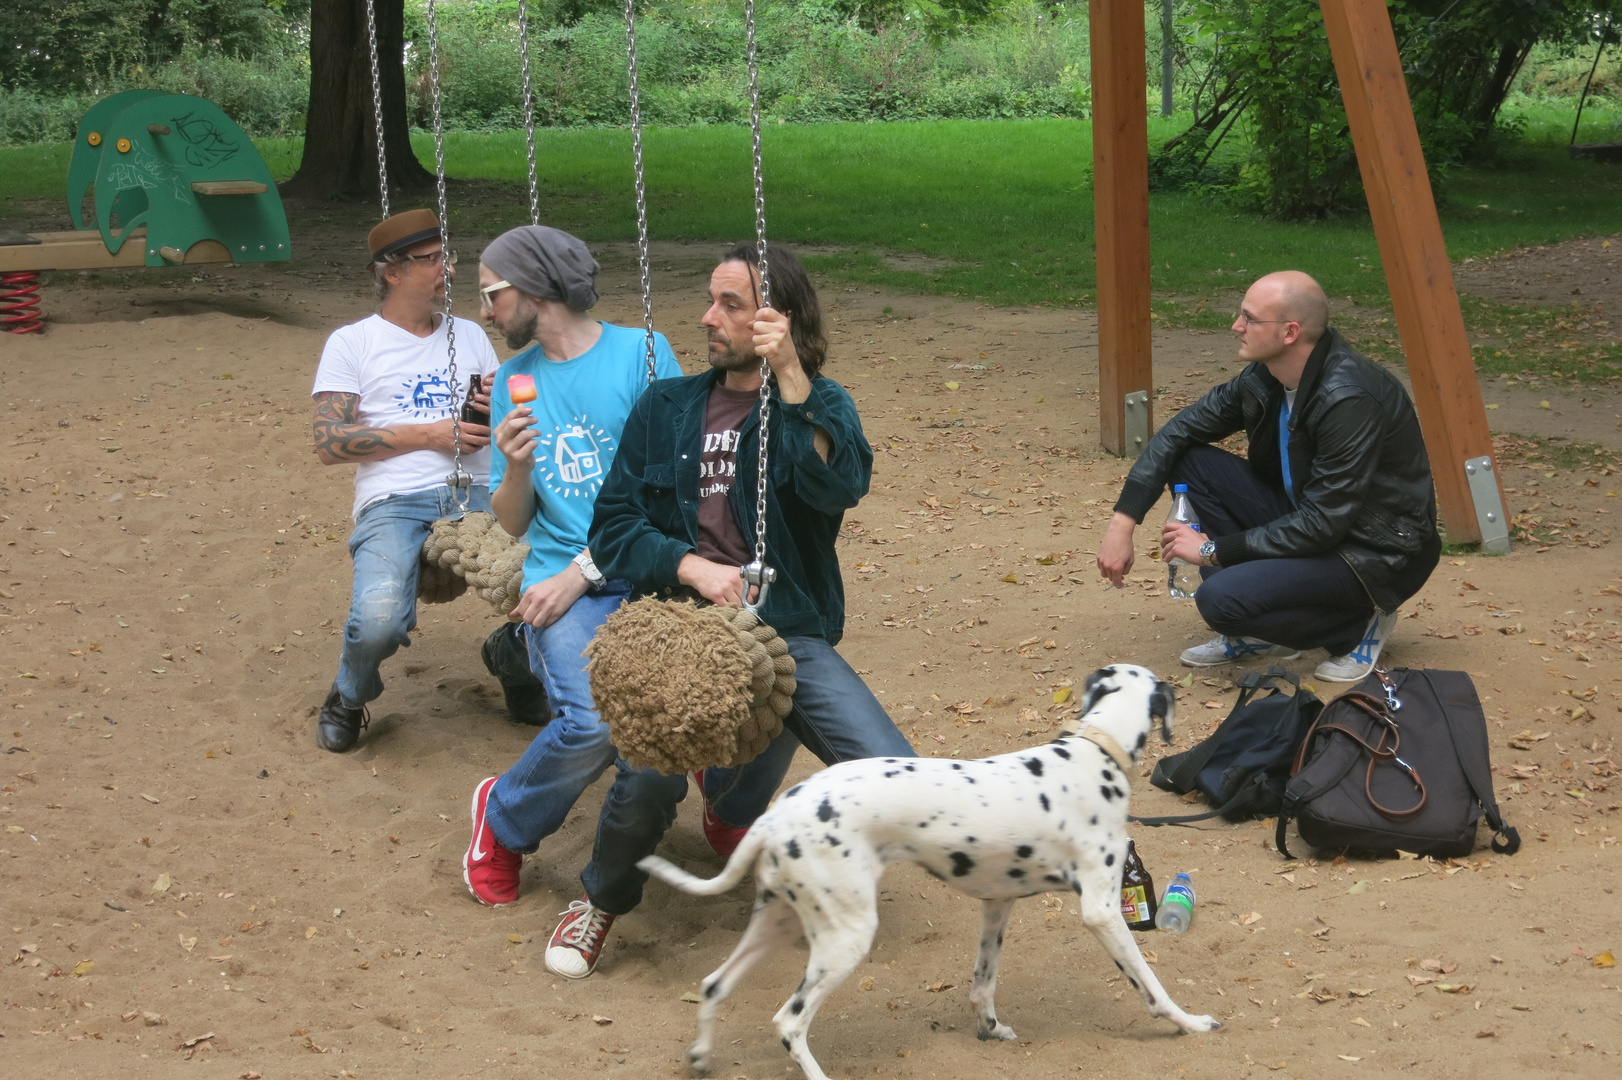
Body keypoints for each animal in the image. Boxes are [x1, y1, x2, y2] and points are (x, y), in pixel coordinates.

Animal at [639, 661, 1219, 1070]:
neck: (1092, 754)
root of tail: (780, 810)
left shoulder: (997, 905)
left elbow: (983, 984)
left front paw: (991, 1030)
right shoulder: (1102, 911)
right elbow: (1151, 984)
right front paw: (1188, 1021)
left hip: (778, 922)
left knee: (713, 985)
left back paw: (700, 1058)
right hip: (845, 937)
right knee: (789, 1023)